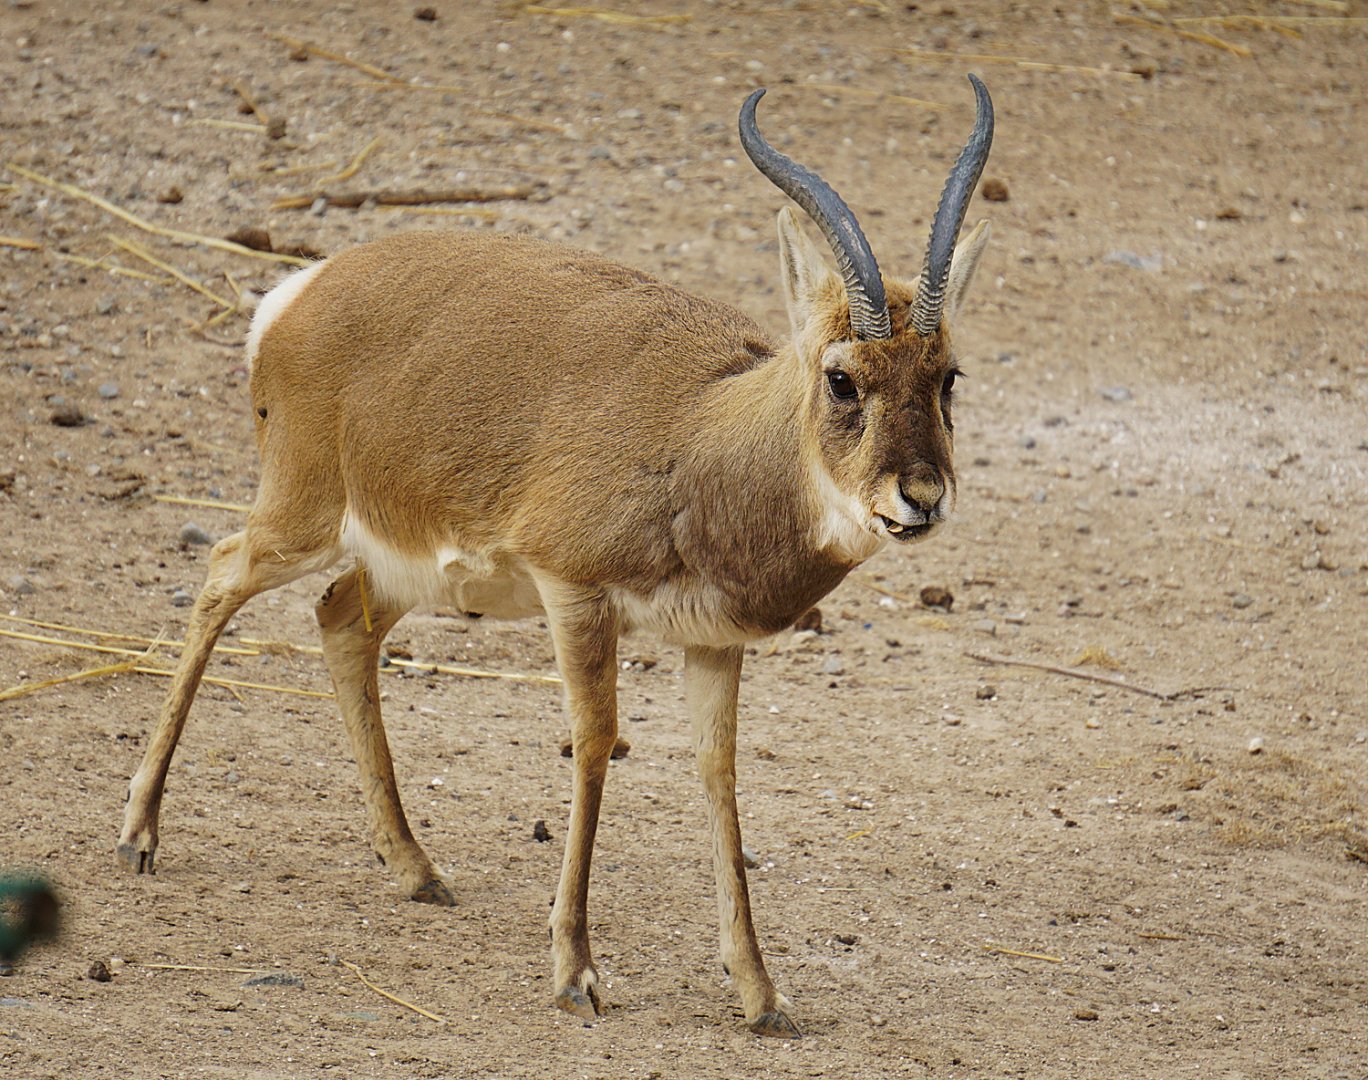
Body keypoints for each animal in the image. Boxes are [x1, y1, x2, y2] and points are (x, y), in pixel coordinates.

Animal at [116, 75, 994, 1037]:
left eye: (947, 376)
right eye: (843, 377)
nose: (921, 497)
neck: (702, 436)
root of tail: (300, 293)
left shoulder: (713, 641)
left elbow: (718, 773)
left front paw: (762, 994)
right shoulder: (575, 593)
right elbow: (596, 740)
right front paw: (576, 968)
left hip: (404, 565)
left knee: (342, 620)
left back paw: (416, 868)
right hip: (301, 517)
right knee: (221, 572)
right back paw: (139, 835)